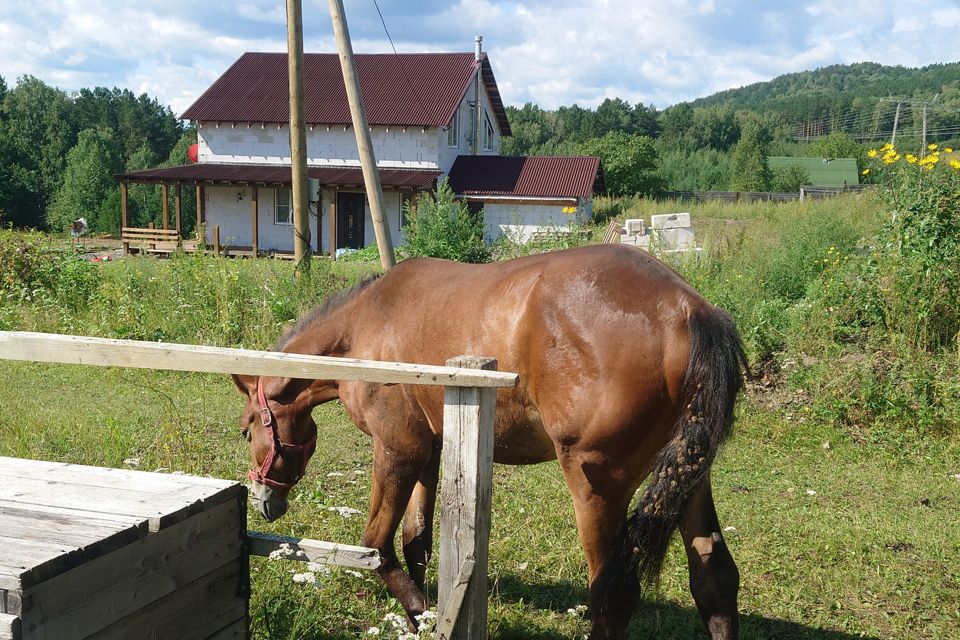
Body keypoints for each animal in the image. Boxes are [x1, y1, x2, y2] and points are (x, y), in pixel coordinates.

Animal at [231, 242, 744, 636]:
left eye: (247, 429)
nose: (263, 499)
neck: (364, 327)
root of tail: (687, 310)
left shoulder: (398, 449)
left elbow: (377, 543)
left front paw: (419, 610)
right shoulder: (431, 450)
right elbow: (417, 539)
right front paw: (421, 616)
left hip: (598, 486)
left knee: (610, 593)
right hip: (688, 477)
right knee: (714, 580)